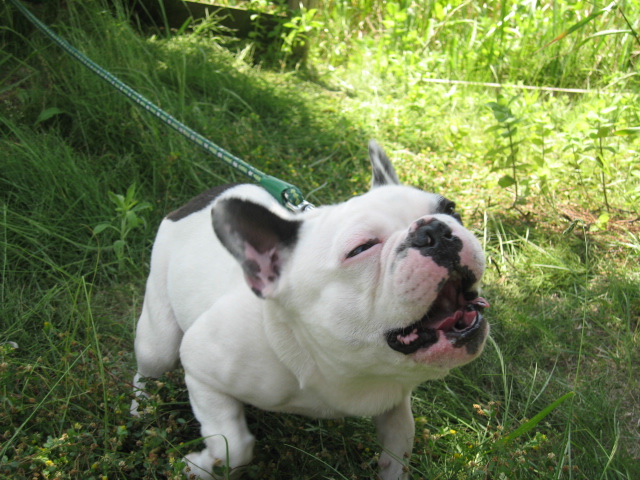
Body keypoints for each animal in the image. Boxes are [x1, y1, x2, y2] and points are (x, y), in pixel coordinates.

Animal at [131, 141, 489, 479]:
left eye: (450, 209)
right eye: (361, 248)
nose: (434, 230)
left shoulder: (395, 398)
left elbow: (400, 443)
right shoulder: (201, 368)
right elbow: (233, 445)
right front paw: (197, 467)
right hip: (158, 341)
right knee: (150, 368)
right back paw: (142, 412)